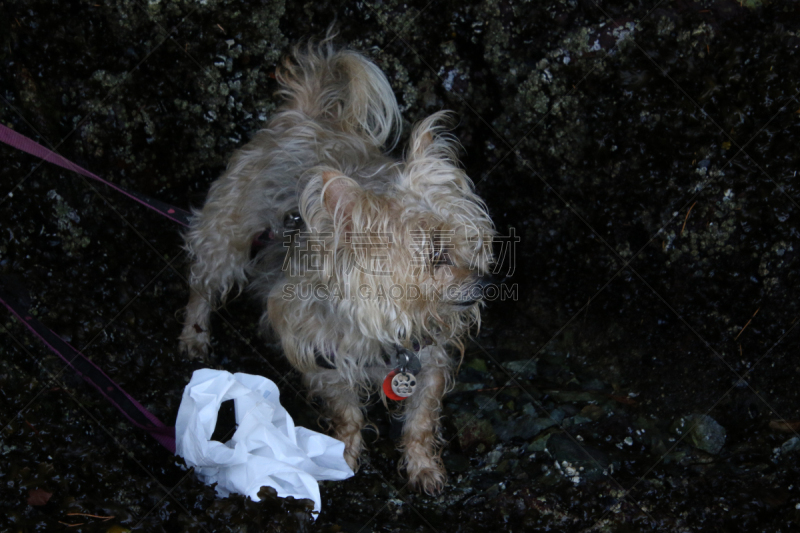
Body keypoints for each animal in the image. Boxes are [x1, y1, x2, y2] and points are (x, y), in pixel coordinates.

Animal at [180, 38, 494, 494]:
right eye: (437, 256)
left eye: (471, 244)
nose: (485, 284)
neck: (388, 326)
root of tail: (301, 116)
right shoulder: (322, 355)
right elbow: (347, 412)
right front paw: (343, 455)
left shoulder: (430, 358)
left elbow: (420, 418)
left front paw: (423, 466)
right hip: (227, 237)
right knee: (203, 286)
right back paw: (194, 334)